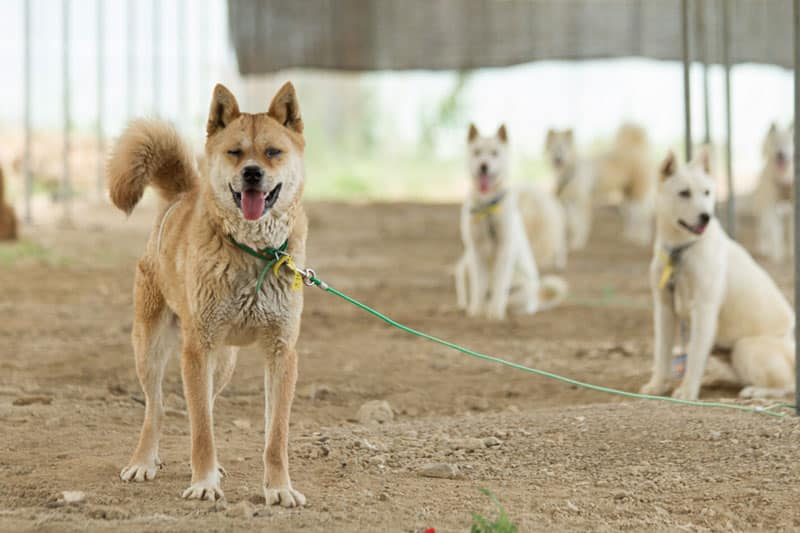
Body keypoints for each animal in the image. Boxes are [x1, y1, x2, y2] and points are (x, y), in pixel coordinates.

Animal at [106, 81, 306, 504]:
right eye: (235, 152)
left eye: (273, 152)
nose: (251, 173)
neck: (253, 252)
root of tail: (181, 195)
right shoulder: (197, 348)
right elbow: (200, 429)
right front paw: (203, 484)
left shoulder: (282, 353)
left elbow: (275, 436)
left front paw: (279, 489)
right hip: (151, 348)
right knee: (158, 409)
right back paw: (144, 461)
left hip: (223, 361)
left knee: (207, 408)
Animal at [456, 123, 568, 320]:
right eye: (477, 152)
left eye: (495, 153)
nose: (483, 166)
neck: (488, 208)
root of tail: (537, 298)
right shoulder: (475, 251)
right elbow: (479, 287)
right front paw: (476, 311)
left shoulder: (505, 248)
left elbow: (499, 284)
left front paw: (494, 313)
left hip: (520, 291)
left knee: (512, 302)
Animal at [636, 150, 792, 400]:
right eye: (684, 193)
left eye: (707, 192)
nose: (706, 216)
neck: (681, 250)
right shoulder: (664, 308)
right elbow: (662, 354)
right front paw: (657, 386)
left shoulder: (704, 309)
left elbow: (694, 356)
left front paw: (687, 391)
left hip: (745, 348)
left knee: (787, 385)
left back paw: (755, 391)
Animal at [756, 121, 792, 262]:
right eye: (776, 143)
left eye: (788, 142)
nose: (780, 154)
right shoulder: (771, 207)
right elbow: (776, 231)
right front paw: (777, 255)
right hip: (764, 209)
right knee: (765, 229)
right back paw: (765, 247)